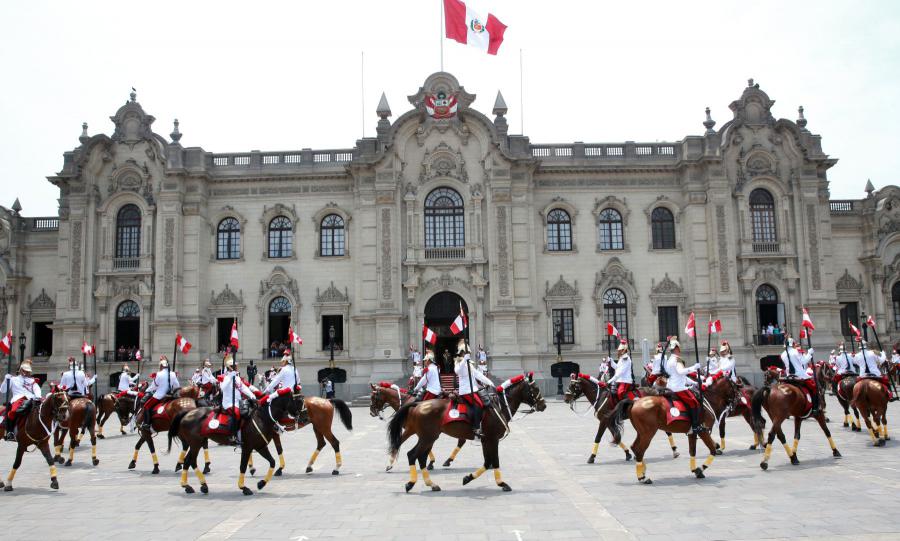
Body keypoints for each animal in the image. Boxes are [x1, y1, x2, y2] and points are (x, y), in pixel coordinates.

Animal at [169, 388, 306, 494]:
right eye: (299, 401)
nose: (304, 418)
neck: (262, 417)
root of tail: (188, 412)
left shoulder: (260, 447)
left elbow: (272, 462)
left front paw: (261, 483)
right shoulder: (247, 447)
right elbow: (242, 466)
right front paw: (244, 487)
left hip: (197, 443)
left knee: (189, 461)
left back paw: (195, 485)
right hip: (195, 444)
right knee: (190, 461)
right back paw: (194, 485)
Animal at [384, 374, 544, 492]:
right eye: (535, 388)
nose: (543, 405)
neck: (498, 405)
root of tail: (418, 404)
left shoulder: (486, 440)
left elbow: (488, 462)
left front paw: (468, 478)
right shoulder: (493, 439)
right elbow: (494, 461)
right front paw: (502, 483)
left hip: (427, 437)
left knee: (420, 456)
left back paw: (431, 483)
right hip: (427, 437)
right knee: (412, 454)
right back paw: (411, 483)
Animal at [604, 374, 740, 484]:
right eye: (736, 386)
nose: (738, 400)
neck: (705, 399)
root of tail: (634, 402)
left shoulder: (693, 433)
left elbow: (692, 451)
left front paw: (695, 469)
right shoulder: (704, 431)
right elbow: (712, 449)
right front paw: (700, 469)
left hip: (641, 433)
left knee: (635, 448)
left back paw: (642, 471)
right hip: (648, 433)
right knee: (639, 450)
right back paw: (643, 477)